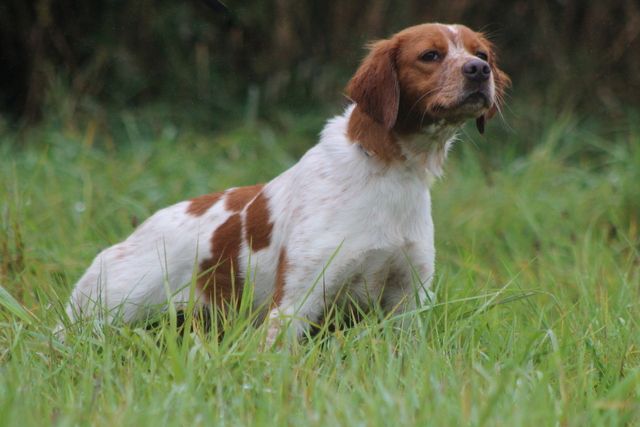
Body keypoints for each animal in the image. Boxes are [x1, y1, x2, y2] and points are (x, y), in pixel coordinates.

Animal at [61, 22, 510, 344]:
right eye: (430, 55)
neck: (387, 172)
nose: (479, 71)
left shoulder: (407, 299)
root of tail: (129, 239)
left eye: (481, 53)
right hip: (102, 315)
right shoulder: (298, 299)